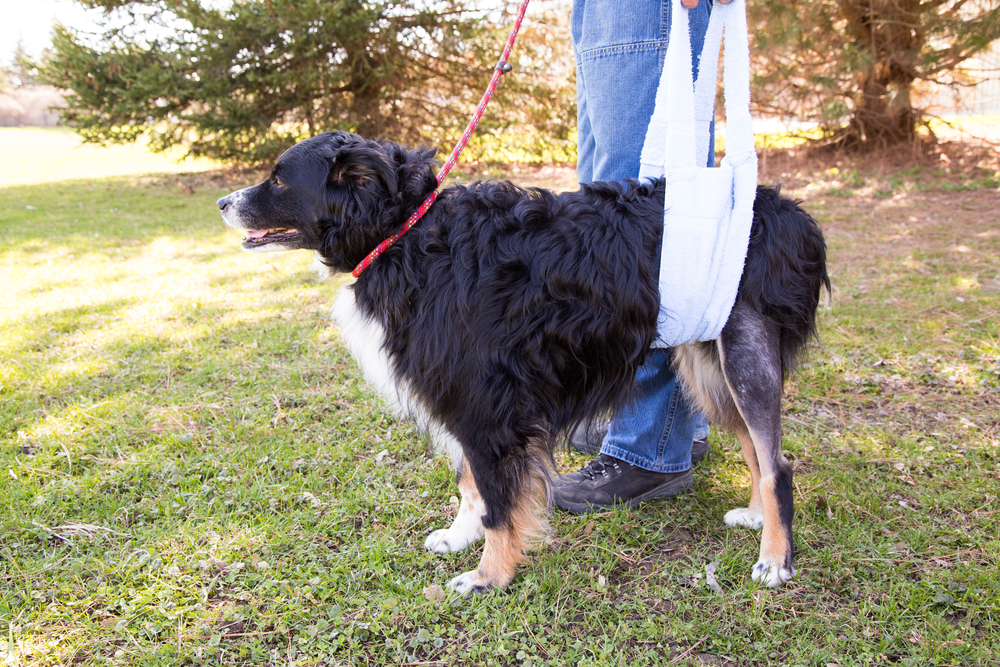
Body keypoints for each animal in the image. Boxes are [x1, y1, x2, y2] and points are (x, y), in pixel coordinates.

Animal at [219, 130, 828, 596]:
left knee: (777, 463)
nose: (224, 202)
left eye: (279, 179)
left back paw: (775, 559)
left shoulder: (486, 405)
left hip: (742, 353)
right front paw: (459, 537)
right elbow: (471, 484)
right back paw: (756, 516)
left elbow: (497, 500)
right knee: (756, 450)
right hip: (708, 361)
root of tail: (784, 211)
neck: (406, 234)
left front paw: (488, 576)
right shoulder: (466, 399)